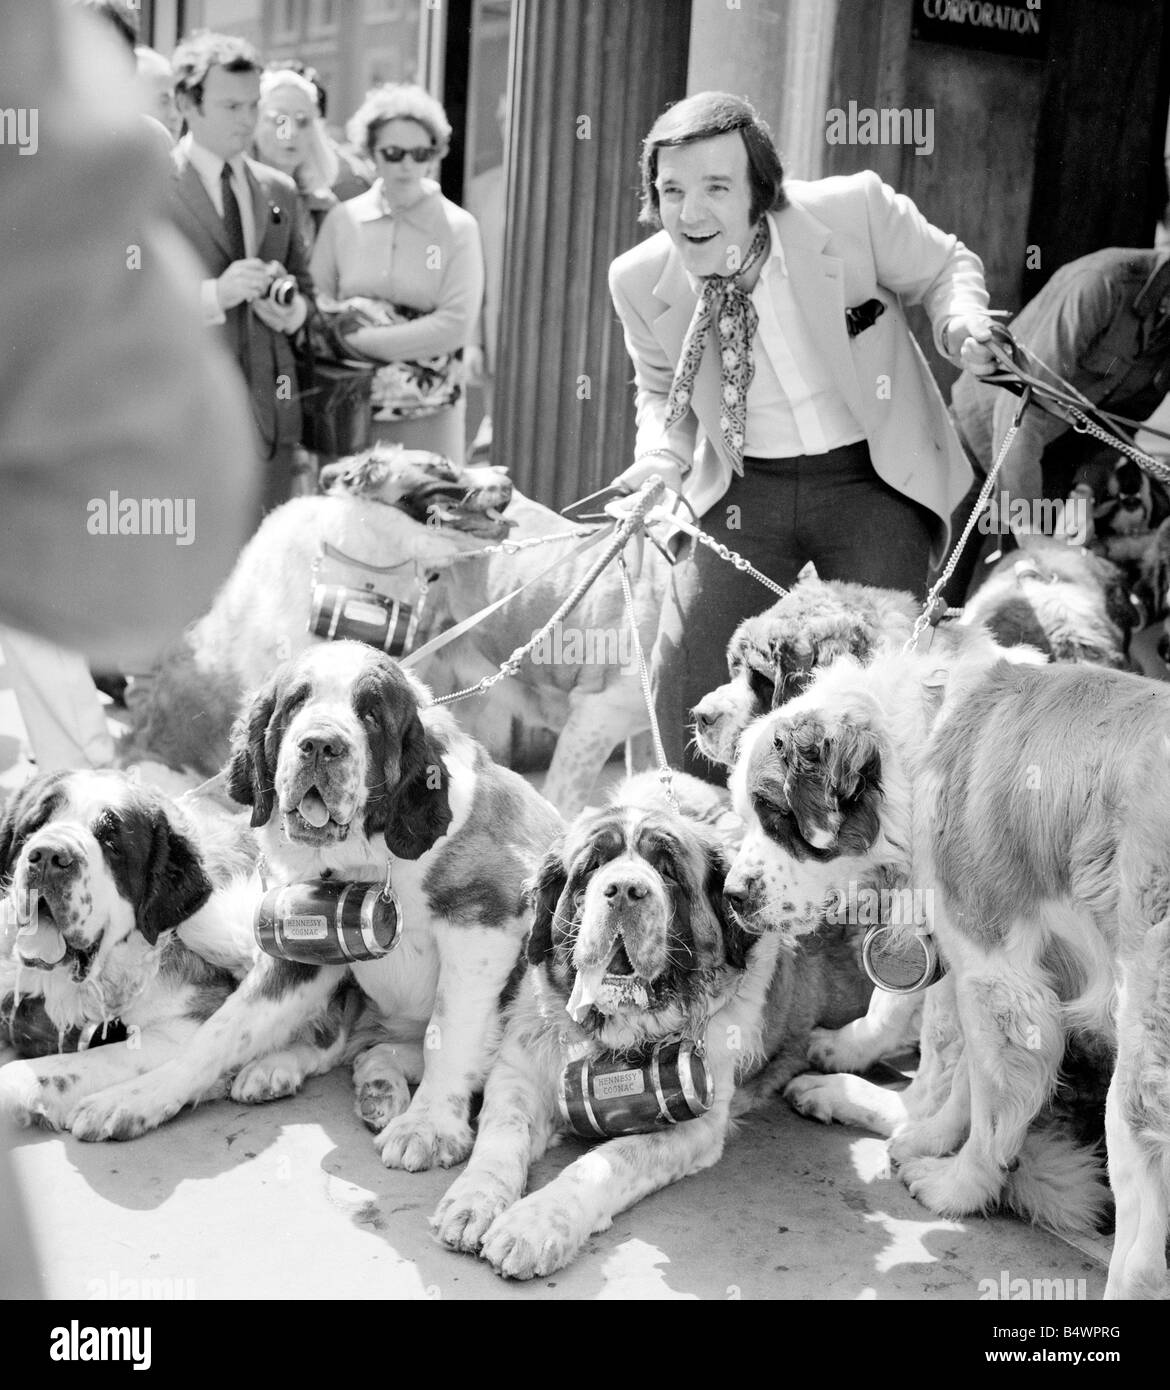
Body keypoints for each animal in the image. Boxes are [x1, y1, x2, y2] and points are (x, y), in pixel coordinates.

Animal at [67, 642, 561, 1173]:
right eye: (295, 704)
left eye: (371, 715)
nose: (321, 745)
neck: (370, 854)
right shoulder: (302, 940)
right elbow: (218, 1035)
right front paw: (136, 1098)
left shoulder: (483, 921)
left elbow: (448, 1031)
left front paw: (428, 1125)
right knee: (340, 1042)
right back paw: (312, 1072)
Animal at [433, 778, 872, 1273]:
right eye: (592, 866)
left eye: (668, 870)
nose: (625, 889)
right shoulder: (518, 1072)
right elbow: (502, 1132)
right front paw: (473, 1199)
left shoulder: (694, 1120)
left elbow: (608, 1160)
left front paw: (535, 1224)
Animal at [722, 625, 1167, 1295]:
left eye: (776, 816)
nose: (732, 895)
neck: (921, 740)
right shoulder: (975, 968)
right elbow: (961, 1076)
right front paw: (918, 1127)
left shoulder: (999, 975)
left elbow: (986, 1103)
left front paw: (958, 1185)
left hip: (1141, 1067)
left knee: (1142, 1253)